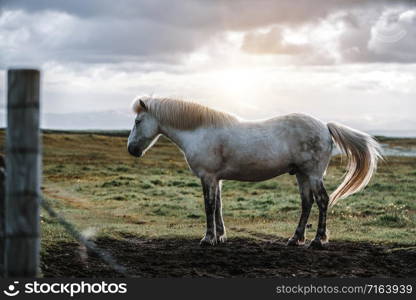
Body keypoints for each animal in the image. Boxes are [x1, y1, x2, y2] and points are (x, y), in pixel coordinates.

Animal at [127, 96, 384, 248]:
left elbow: (209, 206)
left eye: (138, 121)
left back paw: (319, 240)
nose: (131, 149)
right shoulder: (216, 179)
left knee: (322, 200)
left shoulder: (208, 177)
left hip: (312, 174)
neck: (200, 131)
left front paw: (208, 238)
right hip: (302, 175)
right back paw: (296, 238)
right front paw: (221, 236)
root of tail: (325, 127)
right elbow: (218, 205)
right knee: (307, 203)